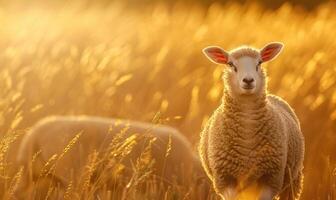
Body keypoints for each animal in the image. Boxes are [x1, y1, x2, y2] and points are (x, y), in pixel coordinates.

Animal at [198, 42, 306, 200]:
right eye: (230, 64)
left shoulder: (271, 178)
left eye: (259, 63)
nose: (248, 80)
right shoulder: (225, 179)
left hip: (293, 180)